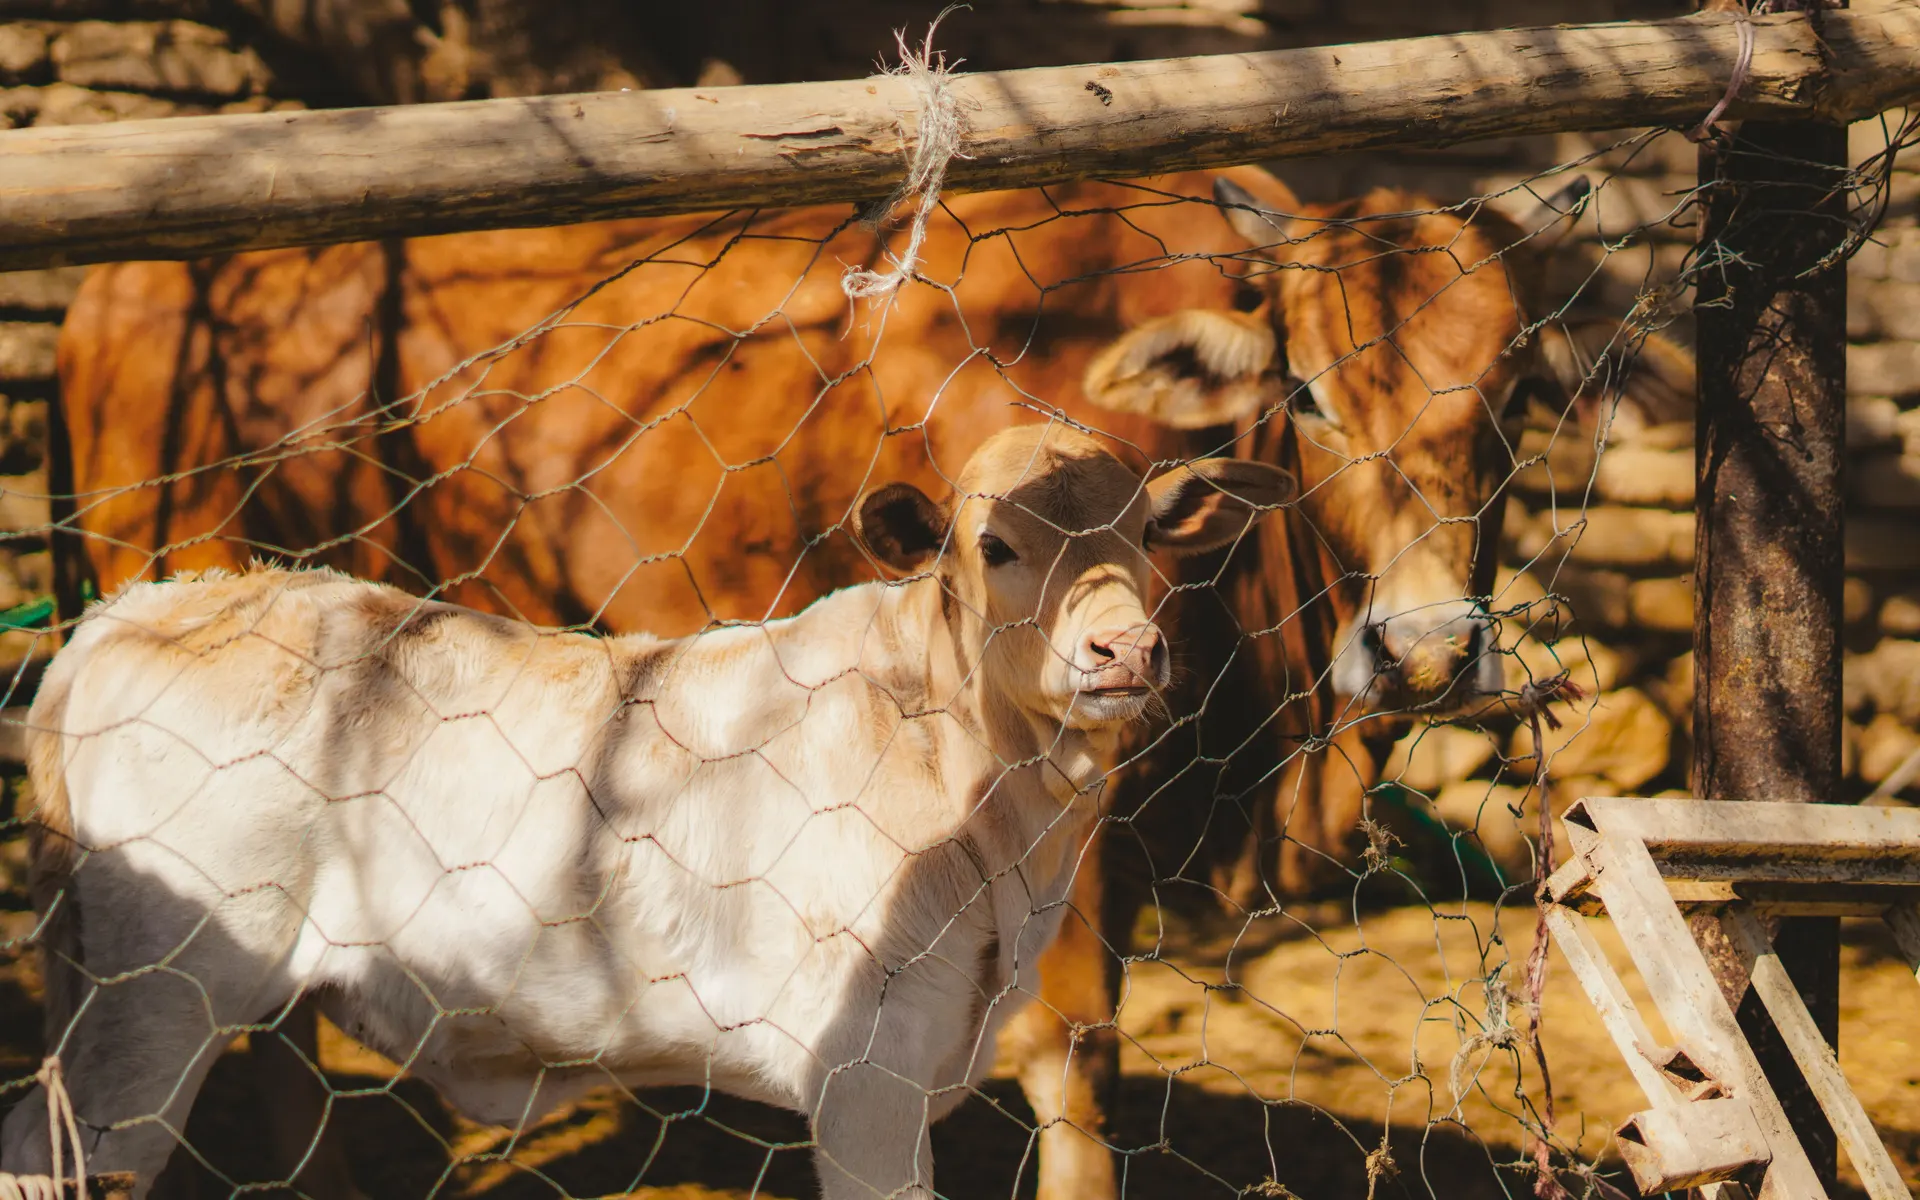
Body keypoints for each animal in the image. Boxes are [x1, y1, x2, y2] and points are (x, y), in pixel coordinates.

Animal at [1, 423, 1298, 1200]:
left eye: (1144, 532)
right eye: (997, 544)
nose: (1125, 648)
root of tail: (137, 612)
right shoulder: (865, 1081)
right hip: (155, 1005)